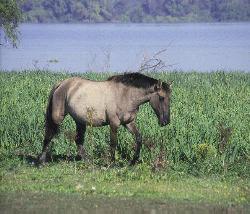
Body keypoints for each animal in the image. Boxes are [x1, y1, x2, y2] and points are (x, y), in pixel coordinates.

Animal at [38, 72, 172, 165]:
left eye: (170, 98)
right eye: (161, 98)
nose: (165, 122)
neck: (125, 95)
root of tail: (61, 84)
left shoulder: (129, 123)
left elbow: (138, 138)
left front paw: (133, 161)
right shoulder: (114, 123)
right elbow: (113, 143)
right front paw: (112, 163)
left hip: (80, 121)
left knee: (79, 140)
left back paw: (87, 161)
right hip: (57, 117)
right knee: (49, 134)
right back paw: (41, 161)